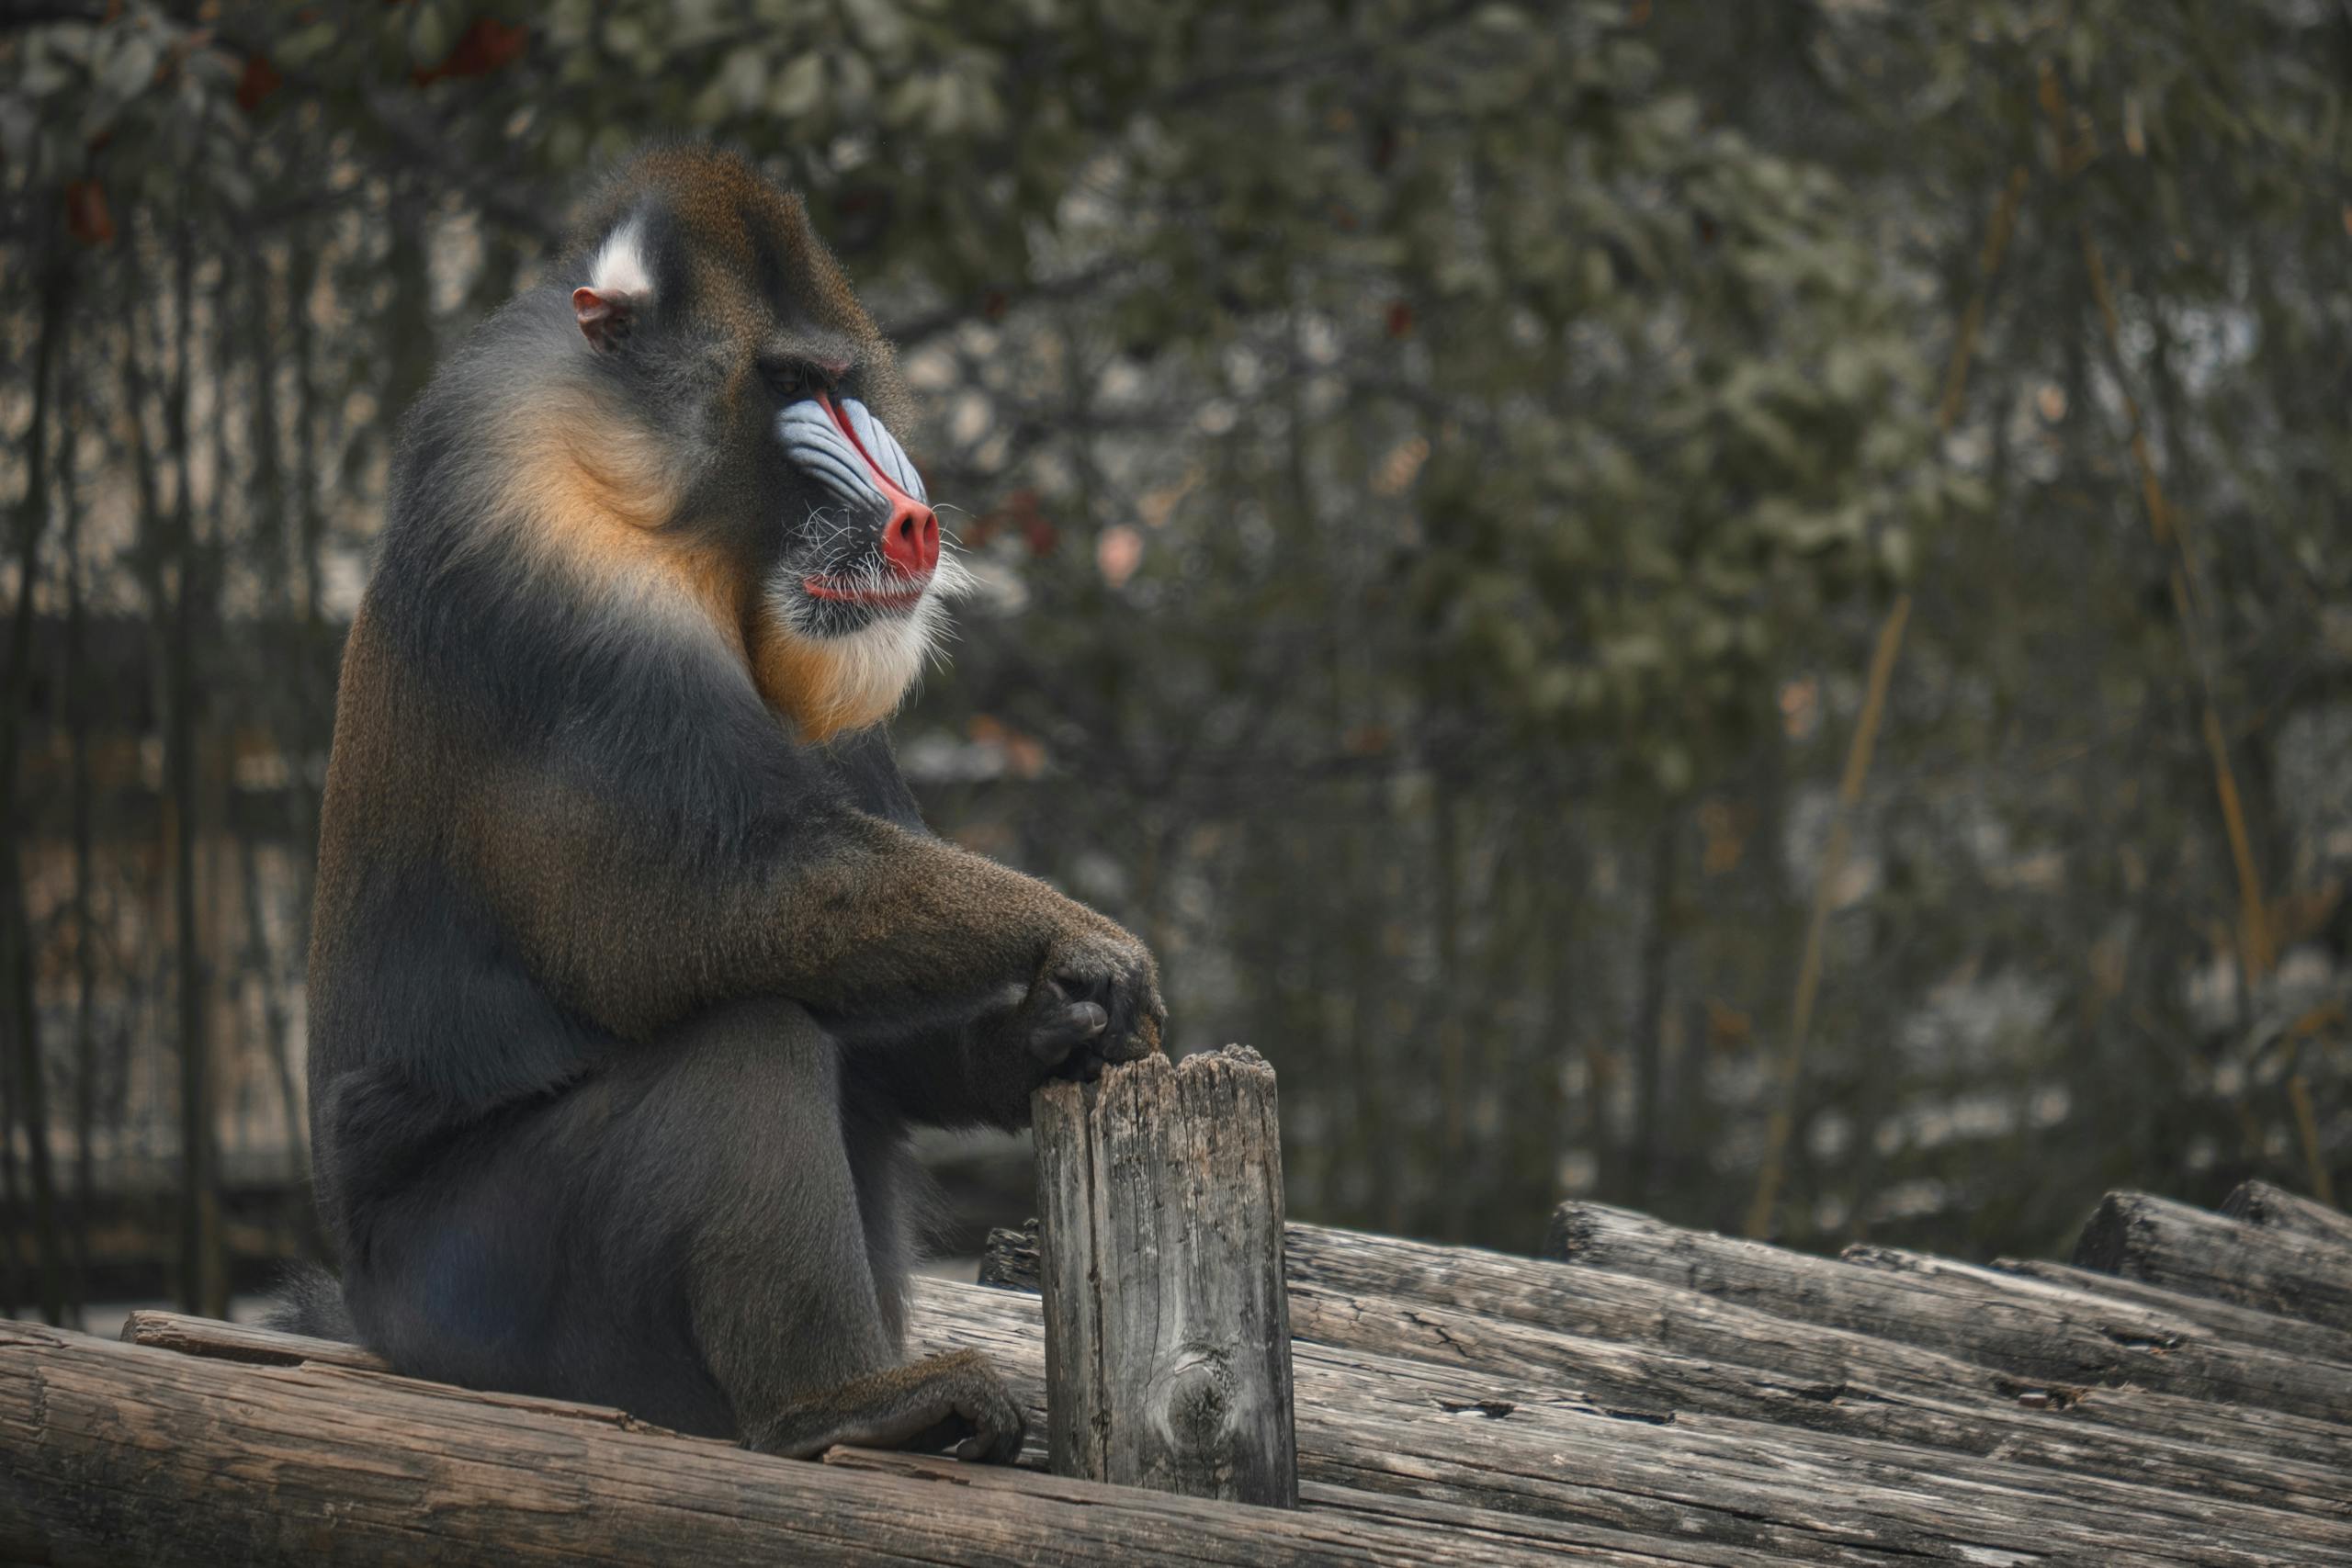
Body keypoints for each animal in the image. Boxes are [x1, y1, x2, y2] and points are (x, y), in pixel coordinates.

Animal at [275, 145, 1164, 1464]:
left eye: (842, 382)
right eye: (787, 384)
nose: (914, 520)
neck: (683, 529)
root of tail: (376, 1316)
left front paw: (1045, 1033)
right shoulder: (554, 589)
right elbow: (684, 915)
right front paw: (1078, 939)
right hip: (487, 1290)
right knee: (744, 1041)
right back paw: (845, 1404)